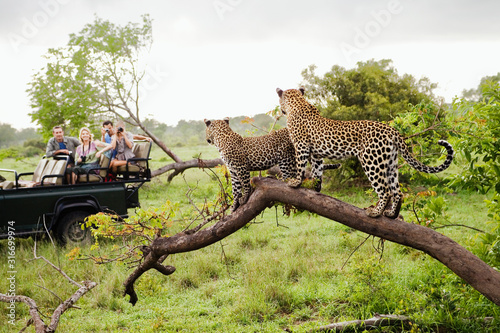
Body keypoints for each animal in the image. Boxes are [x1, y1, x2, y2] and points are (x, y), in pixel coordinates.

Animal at [204, 116, 340, 210]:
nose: (207, 140)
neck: (221, 139)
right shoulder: (232, 170)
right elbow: (235, 189)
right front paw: (234, 206)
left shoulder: (241, 167)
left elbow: (245, 184)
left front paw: (244, 198)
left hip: (286, 158)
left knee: (289, 177)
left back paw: (277, 179)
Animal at [276, 87, 456, 219]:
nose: (281, 110)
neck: (298, 103)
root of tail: (392, 130)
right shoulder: (316, 153)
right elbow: (317, 171)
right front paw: (315, 187)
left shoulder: (301, 145)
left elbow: (301, 165)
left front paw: (296, 182)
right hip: (390, 163)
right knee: (397, 191)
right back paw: (391, 214)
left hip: (372, 161)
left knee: (385, 190)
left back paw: (375, 213)